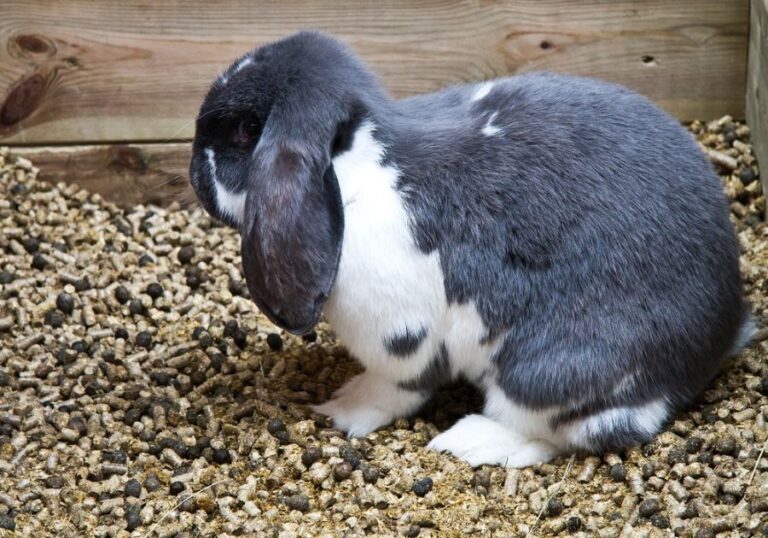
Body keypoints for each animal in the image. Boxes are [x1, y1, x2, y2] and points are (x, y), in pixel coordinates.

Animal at [188, 31, 754, 468]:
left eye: (247, 129)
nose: (195, 172)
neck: (358, 162)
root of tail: (721, 332)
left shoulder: (400, 333)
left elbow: (395, 387)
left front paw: (344, 409)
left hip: (547, 369)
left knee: (580, 428)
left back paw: (471, 441)